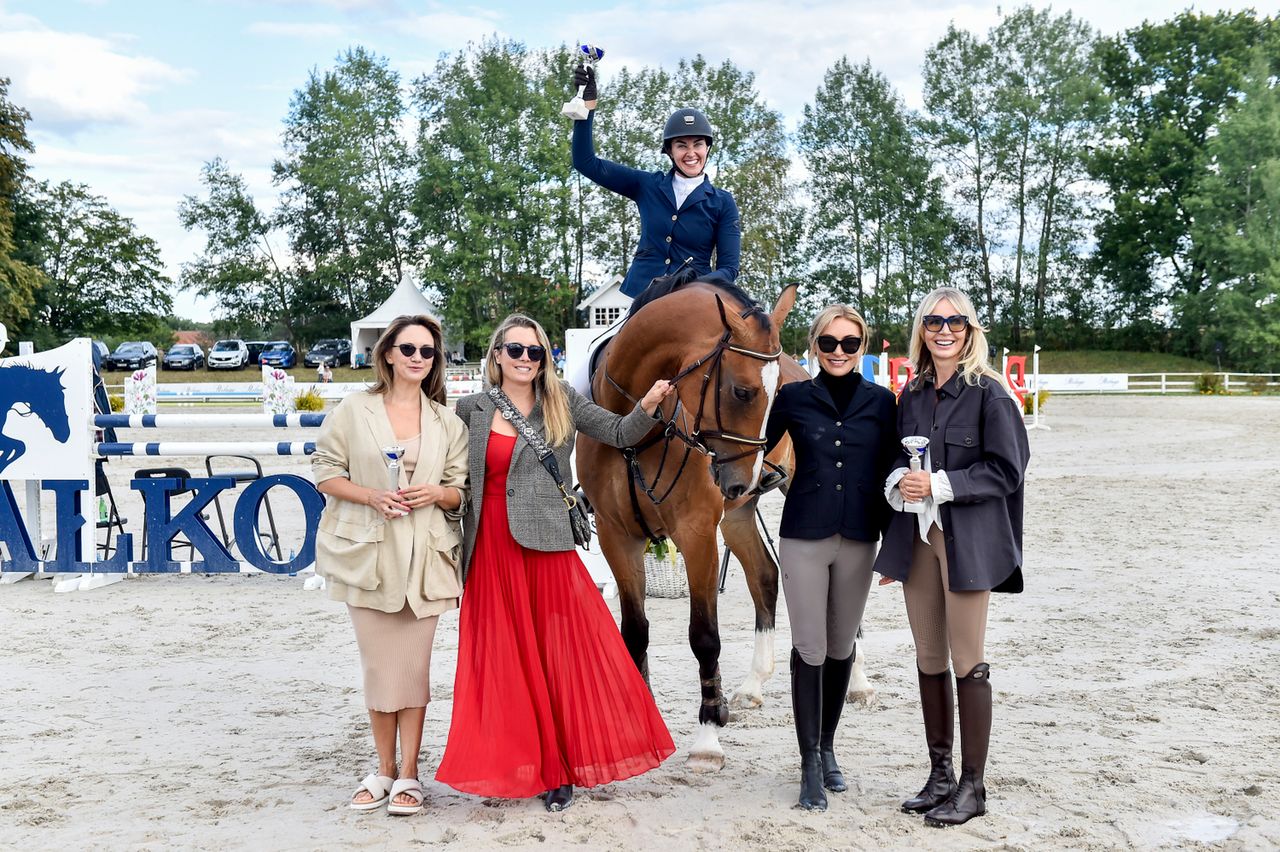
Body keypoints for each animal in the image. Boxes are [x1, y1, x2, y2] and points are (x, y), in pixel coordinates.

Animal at [581, 275, 808, 767]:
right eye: (742, 391)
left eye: (777, 393)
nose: (743, 480)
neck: (632, 427)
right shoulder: (616, 537)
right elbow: (634, 632)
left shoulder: (697, 533)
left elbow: (704, 635)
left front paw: (707, 734)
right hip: (738, 518)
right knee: (765, 575)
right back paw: (752, 685)